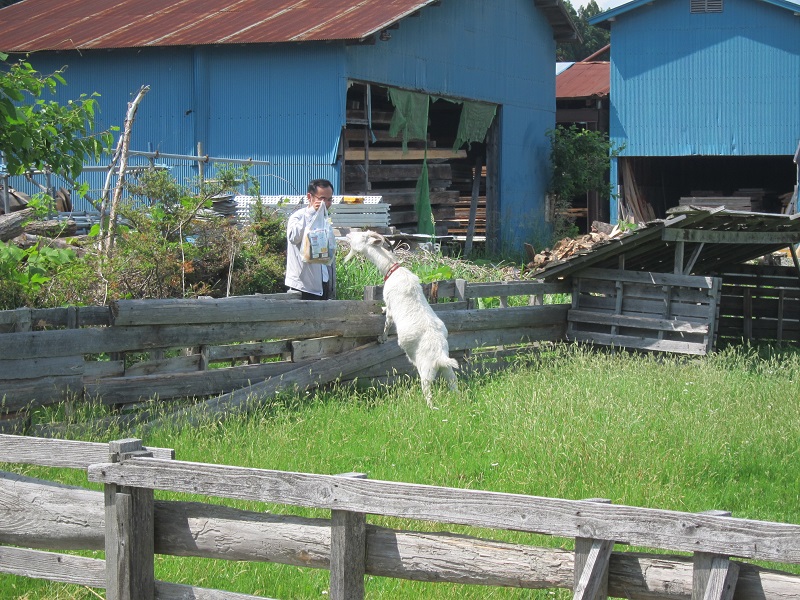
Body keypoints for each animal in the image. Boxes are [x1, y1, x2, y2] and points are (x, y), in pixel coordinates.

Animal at [344, 230, 458, 407]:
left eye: (362, 236)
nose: (349, 233)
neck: (392, 270)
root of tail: (440, 355)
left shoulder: (390, 305)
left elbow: (387, 321)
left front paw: (381, 338)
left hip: (426, 370)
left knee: (428, 393)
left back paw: (431, 408)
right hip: (447, 369)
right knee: (454, 384)